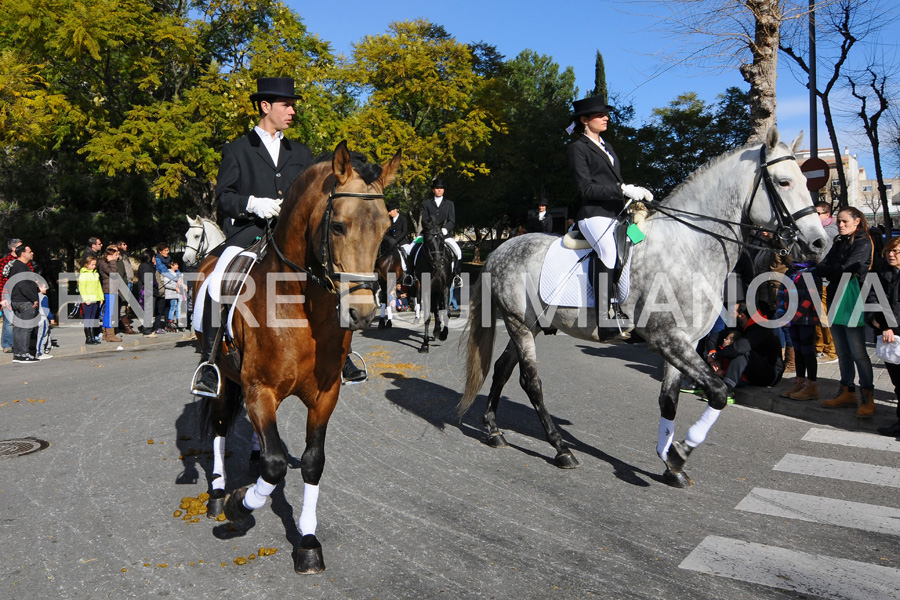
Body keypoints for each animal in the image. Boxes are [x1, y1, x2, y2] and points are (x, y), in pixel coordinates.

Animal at [195, 141, 400, 572]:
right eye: (337, 226)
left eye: (385, 231)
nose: (362, 313)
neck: (299, 304)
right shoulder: (259, 391)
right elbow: (274, 464)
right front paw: (239, 505)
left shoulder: (325, 396)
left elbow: (311, 461)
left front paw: (307, 540)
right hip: (221, 378)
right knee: (220, 426)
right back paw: (219, 494)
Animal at [464, 126, 828, 488]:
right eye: (784, 182)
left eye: (806, 180)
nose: (819, 243)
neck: (688, 246)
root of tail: (500, 249)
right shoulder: (666, 339)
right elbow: (718, 391)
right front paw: (680, 453)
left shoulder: (687, 341)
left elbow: (670, 400)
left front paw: (670, 463)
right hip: (519, 324)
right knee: (531, 382)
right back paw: (561, 449)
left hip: (530, 324)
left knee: (502, 369)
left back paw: (494, 430)